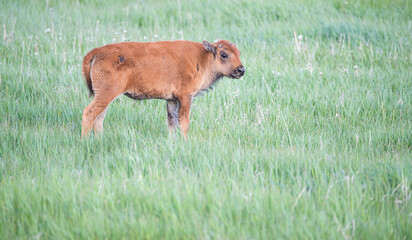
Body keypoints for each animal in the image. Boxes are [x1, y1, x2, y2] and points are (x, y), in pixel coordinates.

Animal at [82, 39, 246, 139]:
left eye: (238, 53)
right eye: (224, 54)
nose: (241, 70)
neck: (203, 57)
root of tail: (97, 52)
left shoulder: (171, 100)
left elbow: (172, 122)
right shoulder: (185, 97)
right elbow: (184, 121)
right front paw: (186, 141)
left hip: (104, 97)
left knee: (99, 117)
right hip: (106, 94)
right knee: (90, 113)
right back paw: (85, 141)